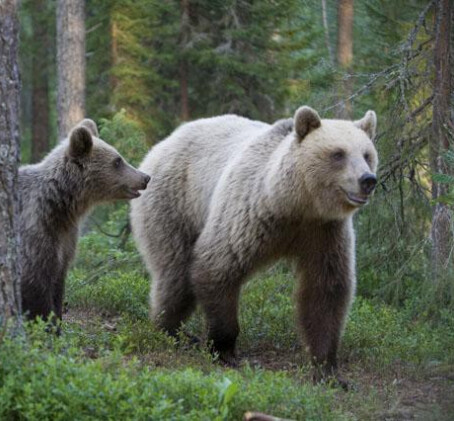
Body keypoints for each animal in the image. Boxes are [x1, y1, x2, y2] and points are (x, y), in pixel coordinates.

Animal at [19, 118, 151, 322]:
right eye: (118, 160)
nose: (145, 177)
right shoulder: (35, 231)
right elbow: (36, 287)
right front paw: (46, 322)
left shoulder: (66, 238)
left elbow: (58, 283)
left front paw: (57, 319)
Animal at [129, 106, 378, 382]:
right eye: (338, 153)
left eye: (367, 154)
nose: (368, 179)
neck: (296, 204)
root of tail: (165, 141)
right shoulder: (252, 215)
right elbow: (217, 266)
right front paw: (224, 349)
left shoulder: (324, 232)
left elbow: (325, 291)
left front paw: (327, 368)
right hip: (174, 202)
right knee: (175, 273)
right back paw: (170, 329)